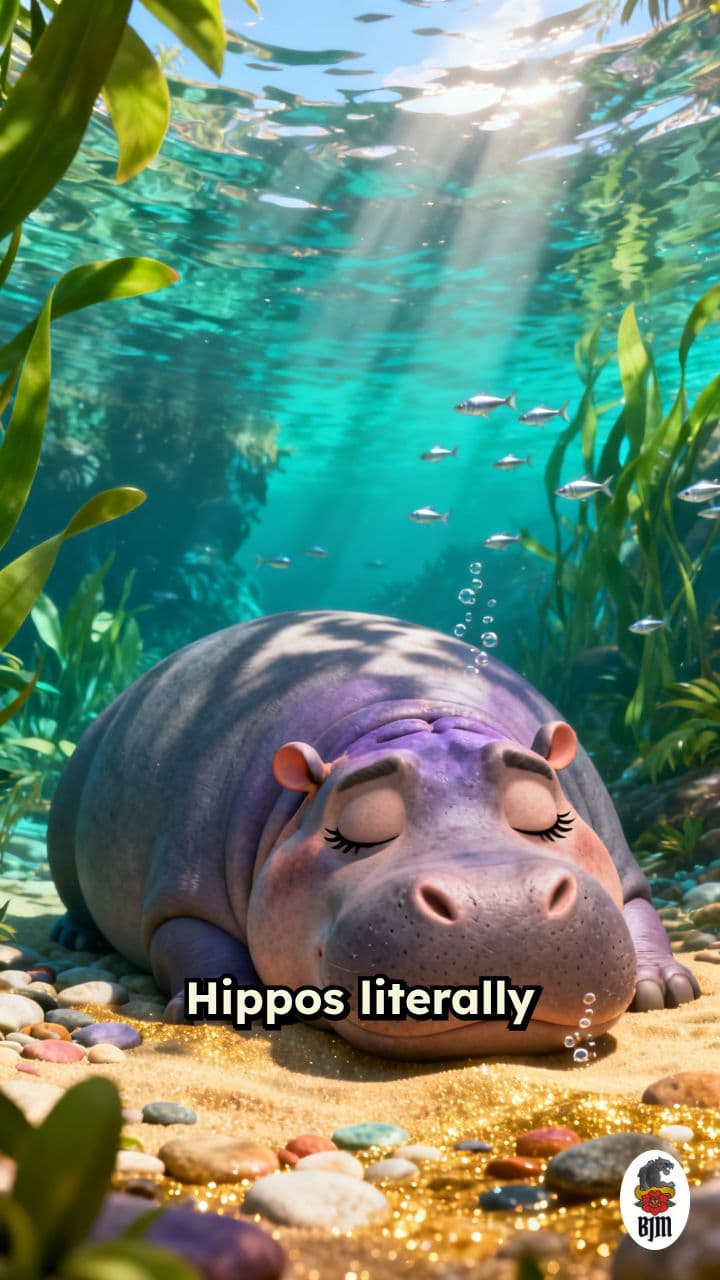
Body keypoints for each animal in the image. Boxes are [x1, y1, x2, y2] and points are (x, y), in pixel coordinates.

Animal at [47, 610, 698, 1059]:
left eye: (546, 815)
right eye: (356, 829)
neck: (409, 712)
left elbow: (641, 908)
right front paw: (234, 1011)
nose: (503, 908)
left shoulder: (621, 860)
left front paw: (667, 990)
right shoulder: (183, 892)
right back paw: (73, 937)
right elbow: (193, 940)